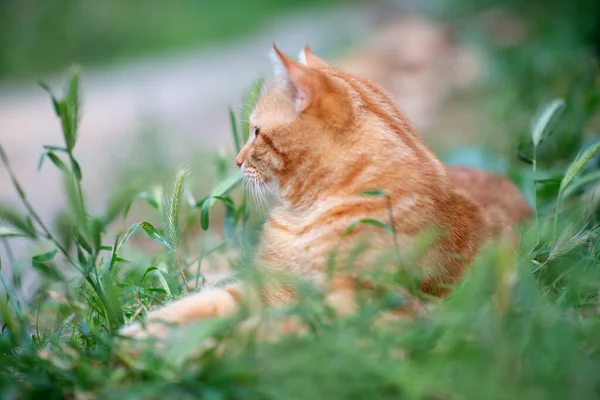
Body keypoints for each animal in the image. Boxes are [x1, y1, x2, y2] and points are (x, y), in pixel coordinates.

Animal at [119, 44, 532, 338]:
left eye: (255, 132)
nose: (236, 161)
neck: (304, 216)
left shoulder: (362, 313)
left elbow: (267, 330)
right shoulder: (264, 290)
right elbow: (196, 306)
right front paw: (135, 339)